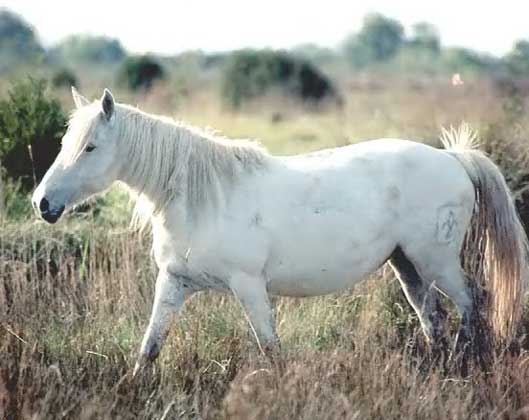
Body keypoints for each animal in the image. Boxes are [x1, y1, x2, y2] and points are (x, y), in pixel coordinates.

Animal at [32, 88, 524, 374]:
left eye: (91, 147)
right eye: (65, 142)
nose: (43, 204)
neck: (201, 197)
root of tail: (453, 158)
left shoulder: (249, 286)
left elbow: (270, 348)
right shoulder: (173, 283)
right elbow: (150, 347)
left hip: (435, 260)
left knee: (469, 305)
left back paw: (467, 363)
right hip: (408, 265)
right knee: (431, 316)